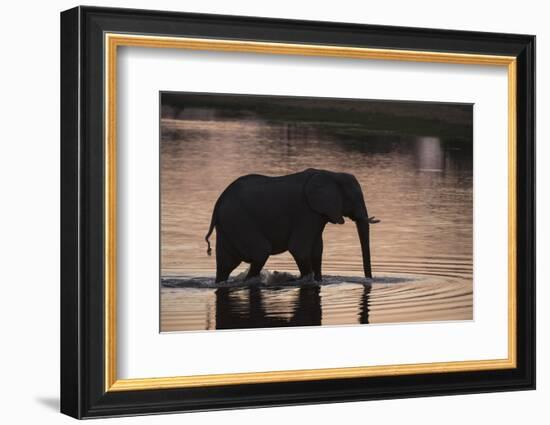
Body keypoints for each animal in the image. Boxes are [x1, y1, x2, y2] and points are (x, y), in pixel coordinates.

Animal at [205, 168, 382, 282]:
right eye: (353, 198)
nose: (369, 280)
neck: (331, 174)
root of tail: (218, 203)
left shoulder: (317, 214)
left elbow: (317, 250)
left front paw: (319, 280)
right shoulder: (306, 212)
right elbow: (299, 248)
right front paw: (307, 280)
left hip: (229, 225)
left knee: (225, 264)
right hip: (240, 221)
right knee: (261, 252)